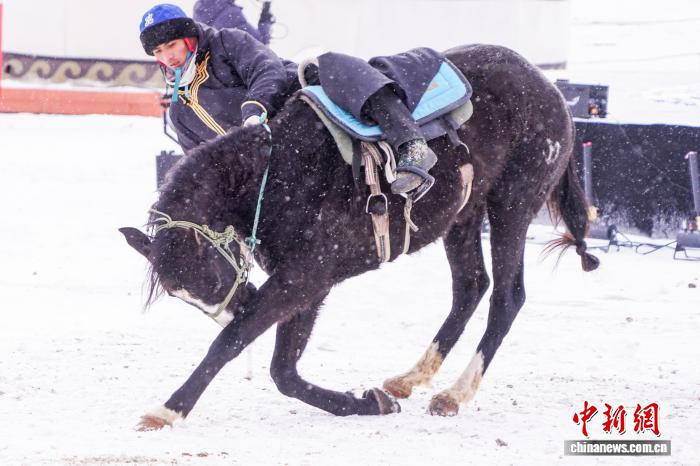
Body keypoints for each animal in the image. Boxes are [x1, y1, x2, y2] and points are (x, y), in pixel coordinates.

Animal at [120, 44, 599, 430]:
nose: (237, 305)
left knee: (507, 296)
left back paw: (454, 394)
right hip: (464, 217)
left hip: (512, 206)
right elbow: (284, 373)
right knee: (470, 287)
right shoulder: (306, 285)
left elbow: (232, 344)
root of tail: (548, 87)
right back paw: (410, 379)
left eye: (210, 275)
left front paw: (168, 410)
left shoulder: (302, 279)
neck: (278, 171)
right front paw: (373, 402)